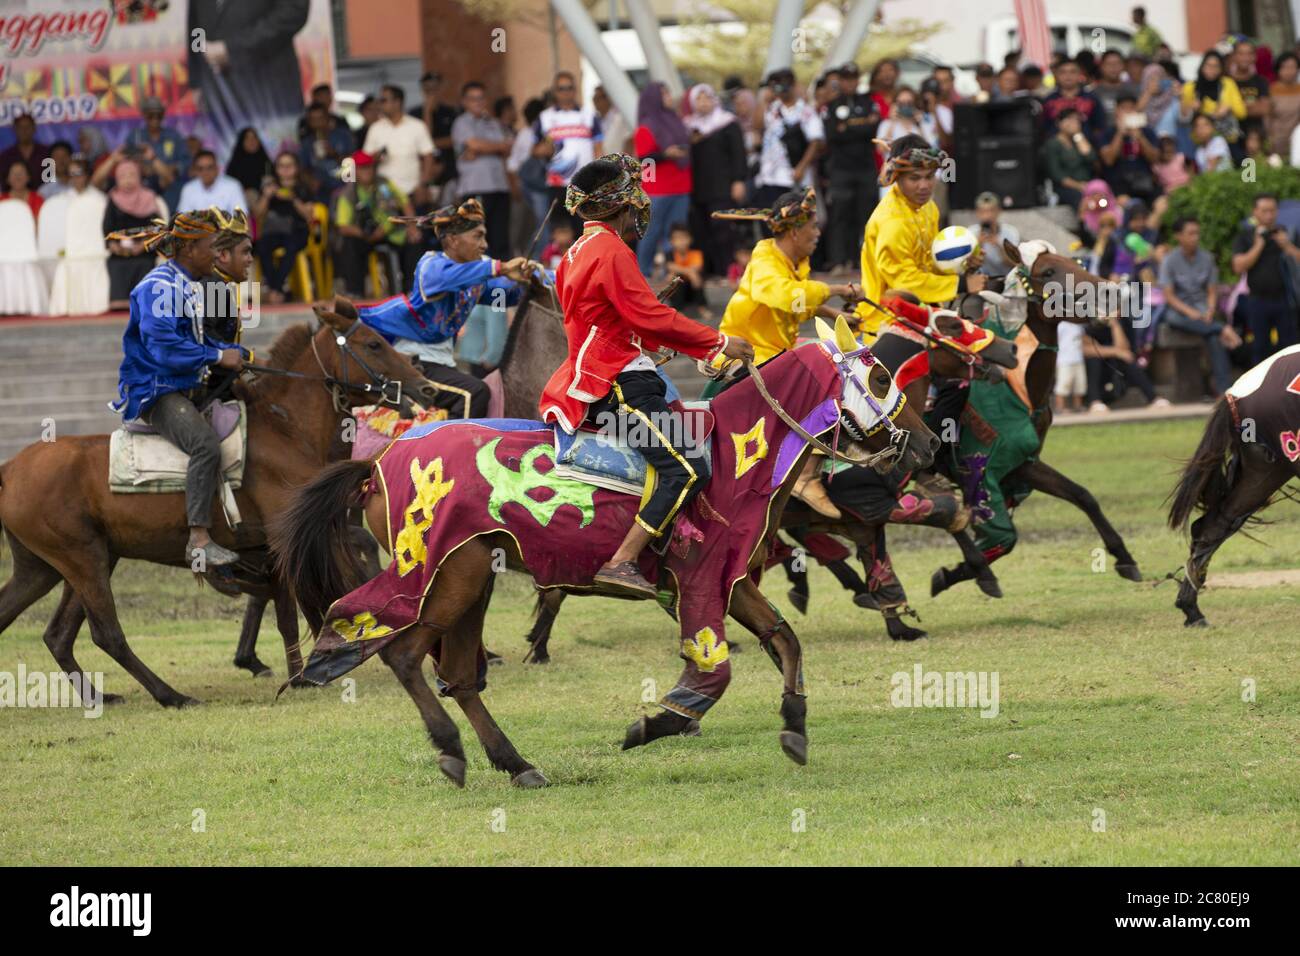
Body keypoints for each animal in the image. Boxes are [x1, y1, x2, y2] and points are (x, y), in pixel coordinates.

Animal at [0, 300, 436, 712]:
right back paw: (171, 695)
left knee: (52, 631)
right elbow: (302, 603)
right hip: (82, 559)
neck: (286, 429)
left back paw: (101, 696)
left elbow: (310, 589)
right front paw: (310, 671)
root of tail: (11, 467)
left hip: (59, 565)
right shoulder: (289, 533)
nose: (425, 389)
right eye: (374, 344)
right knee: (106, 633)